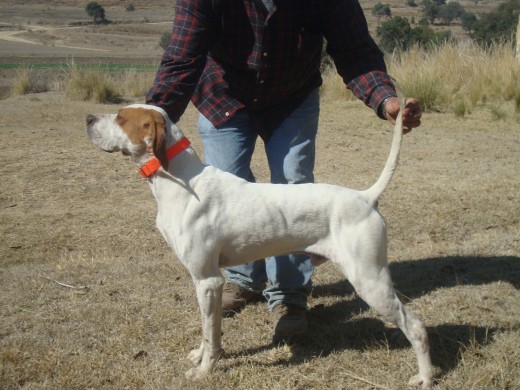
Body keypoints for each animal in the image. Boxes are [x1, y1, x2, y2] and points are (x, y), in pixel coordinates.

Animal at [86, 101, 430, 390]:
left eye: (121, 117)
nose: (88, 118)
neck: (181, 180)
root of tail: (364, 197)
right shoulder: (208, 284)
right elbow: (208, 328)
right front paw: (200, 355)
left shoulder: (207, 280)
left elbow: (210, 332)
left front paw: (205, 370)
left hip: (369, 281)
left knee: (416, 327)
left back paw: (425, 377)